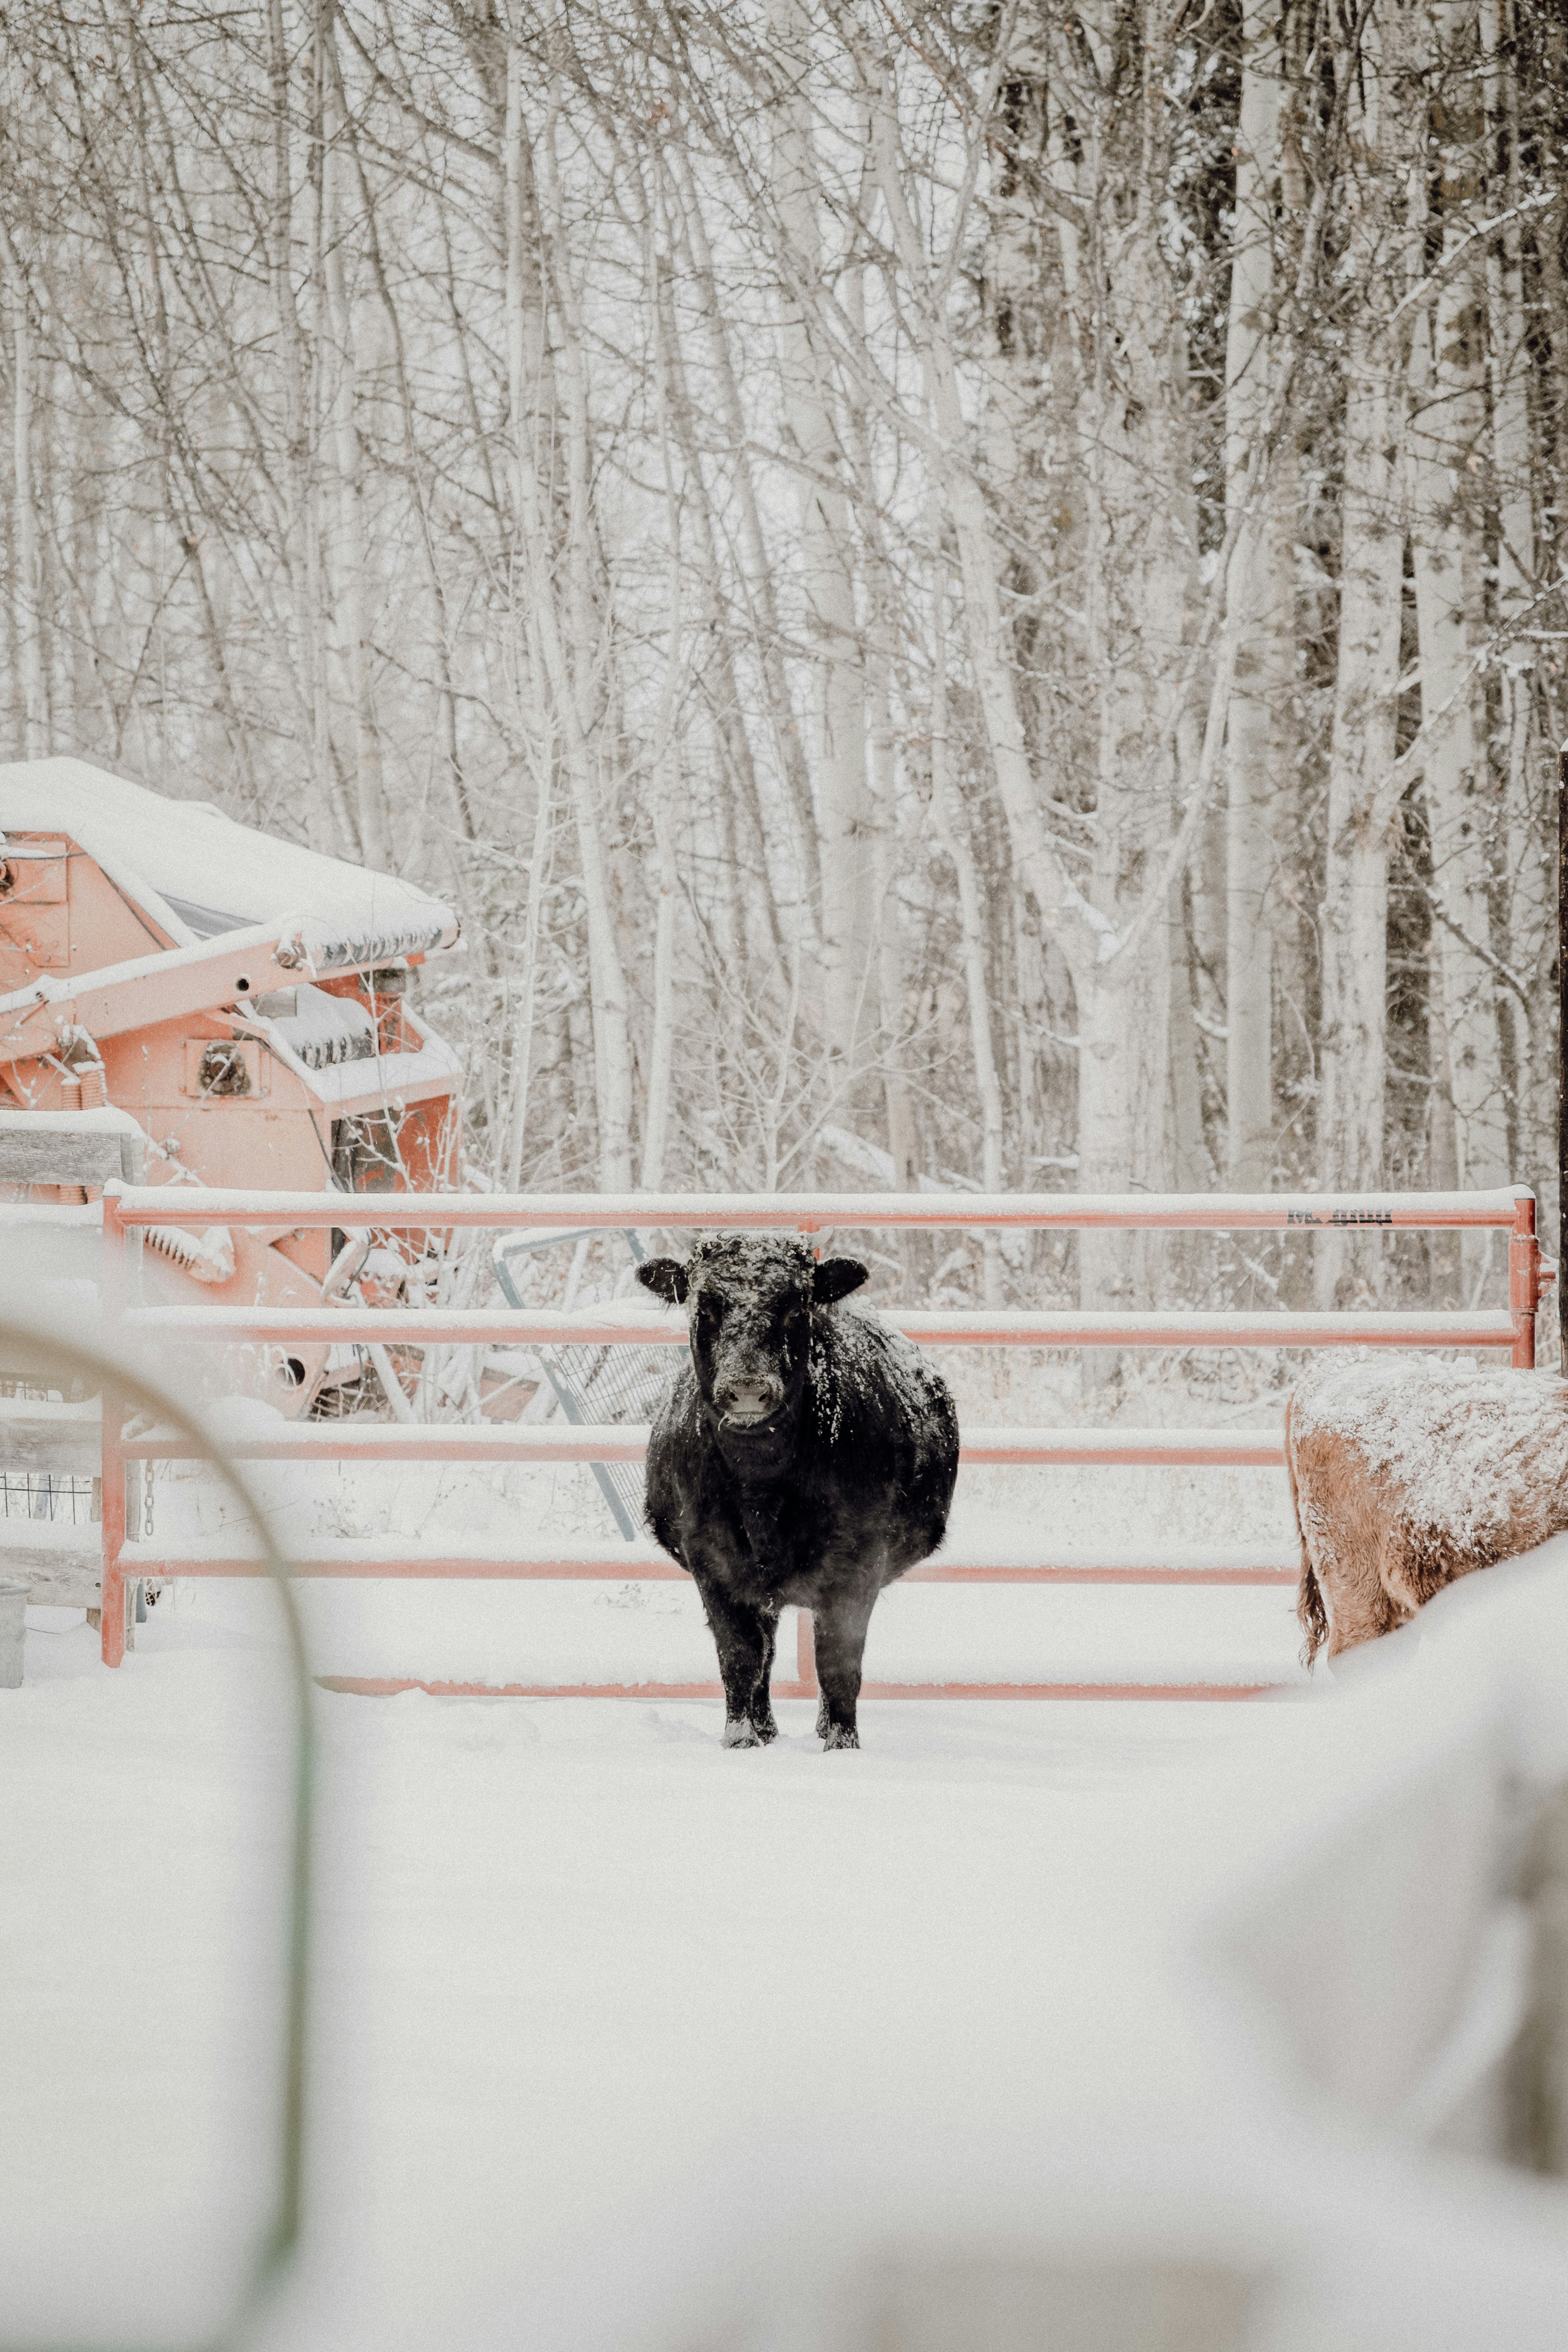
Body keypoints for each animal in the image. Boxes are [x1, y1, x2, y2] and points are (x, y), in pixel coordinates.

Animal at [636, 1233, 960, 1750]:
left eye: (796, 1307)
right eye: (704, 1308)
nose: (748, 1389)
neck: (761, 1487)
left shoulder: (857, 1564)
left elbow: (838, 1664)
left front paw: (842, 1746)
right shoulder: (711, 1560)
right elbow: (740, 1658)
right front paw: (739, 1740)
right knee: (764, 1653)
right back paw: (765, 1729)